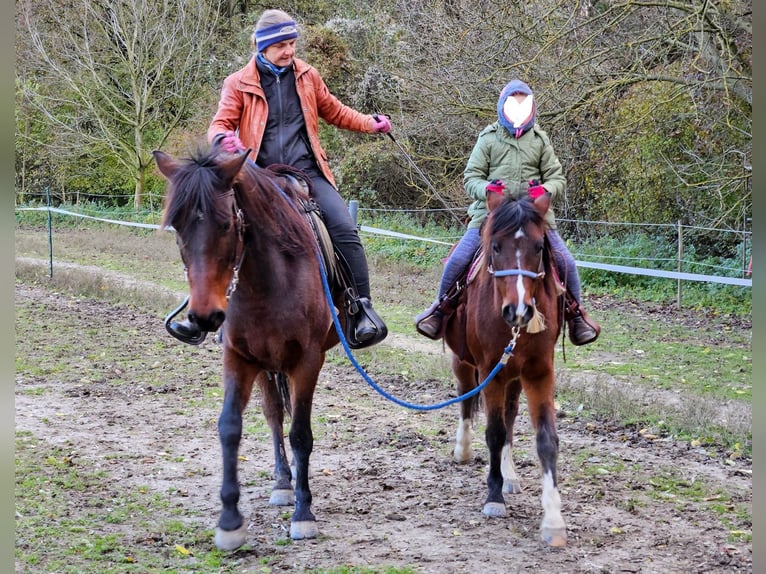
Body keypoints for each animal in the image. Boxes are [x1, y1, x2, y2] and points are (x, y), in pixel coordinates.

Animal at [153, 146, 343, 550]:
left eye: (226, 224)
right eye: (178, 227)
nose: (205, 316)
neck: (267, 284)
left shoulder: (308, 361)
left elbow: (301, 433)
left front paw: (304, 514)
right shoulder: (239, 358)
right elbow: (230, 427)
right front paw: (229, 520)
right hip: (265, 365)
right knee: (273, 416)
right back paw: (283, 482)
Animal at [443, 192, 568, 547]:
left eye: (539, 247)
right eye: (496, 247)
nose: (519, 310)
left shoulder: (539, 373)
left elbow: (545, 438)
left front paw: (553, 519)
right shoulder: (490, 371)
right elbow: (495, 432)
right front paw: (494, 498)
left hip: (515, 376)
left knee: (511, 415)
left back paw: (510, 474)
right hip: (464, 362)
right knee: (465, 399)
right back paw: (463, 450)